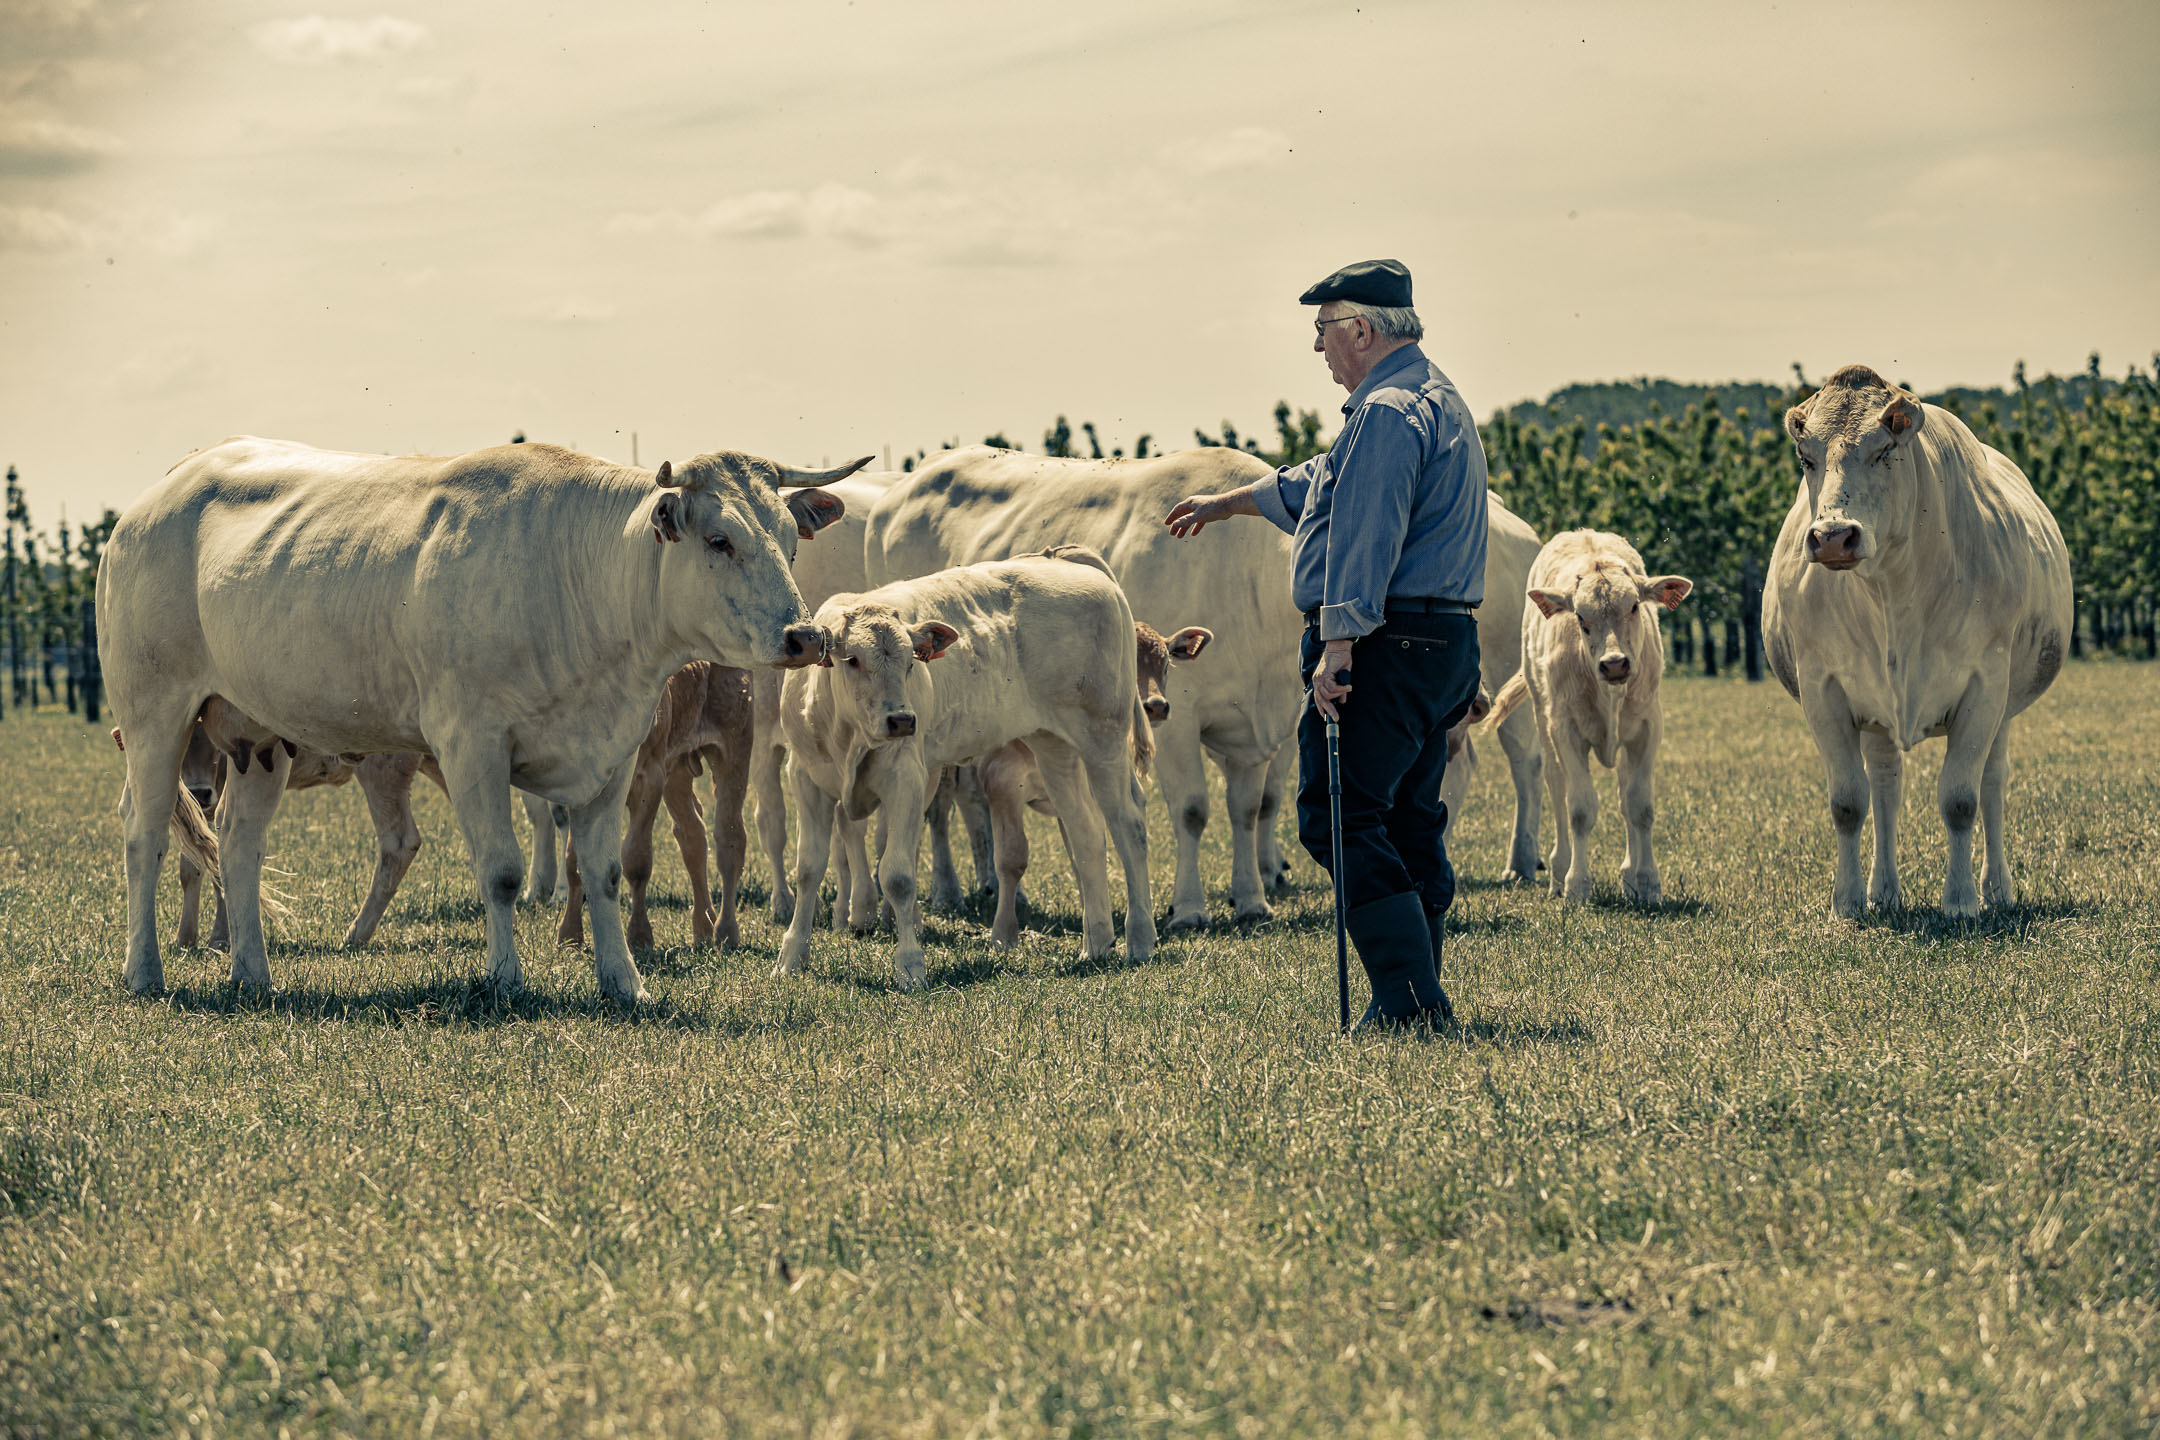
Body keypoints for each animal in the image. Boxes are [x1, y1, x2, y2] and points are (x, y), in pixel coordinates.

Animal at [101, 440, 855, 1001]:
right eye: (720, 540)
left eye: (790, 542)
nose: (803, 637)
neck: (574, 577)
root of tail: (156, 498)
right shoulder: (471, 745)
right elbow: (502, 872)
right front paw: (506, 978)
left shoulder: (614, 755)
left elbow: (606, 871)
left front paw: (625, 981)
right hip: (153, 714)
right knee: (145, 834)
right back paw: (144, 972)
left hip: (259, 736)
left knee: (237, 842)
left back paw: (253, 975)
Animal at [773, 546, 1149, 984]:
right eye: (852, 659)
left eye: (912, 662)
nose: (902, 720)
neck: (847, 734)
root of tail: (1065, 561)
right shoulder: (805, 778)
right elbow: (808, 869)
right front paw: (791, 957)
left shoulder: (906, 779)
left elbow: (897, 876)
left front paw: (910, 965)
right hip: (1054, 746)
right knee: (1086, 831)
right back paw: (1097, 943)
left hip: (1104, 739)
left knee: (1128, 827)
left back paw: (1139, 939)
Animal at [859, 444, 1296, 928]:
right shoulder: (1178, 720)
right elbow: (1192, 810)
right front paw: (1187, 908)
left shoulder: (1250, 727)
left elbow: (1248, 810)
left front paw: (1253, 900)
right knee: (939, 805)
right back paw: (947, 892)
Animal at [1494, 528, 1693, 906]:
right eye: (1581, 619)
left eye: (1634, 607)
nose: (1614, 664)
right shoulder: (1567, 730)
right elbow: (1580, 809)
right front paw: (1576, 885)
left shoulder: (1647, 728)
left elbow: (1639, 806)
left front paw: (1647, 883)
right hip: (1544, 718)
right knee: (1557, 789)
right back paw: (1559, 873)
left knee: (1625, 792)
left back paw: (1629, 876)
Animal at [1771, 367, 2073, 919]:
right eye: (1807, 458)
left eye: (1884, 449)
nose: (1833, 537)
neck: (1892, 589)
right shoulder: (1822, 688)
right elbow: (1848, 802)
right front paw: (1847, 902)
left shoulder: (1985, 686)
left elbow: (1961, 800)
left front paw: (1961, 901)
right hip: (1875, 717)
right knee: (1885, 786)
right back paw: (1884, 891)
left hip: (2003, 710)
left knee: (1992, 785)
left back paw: (1997, 889)